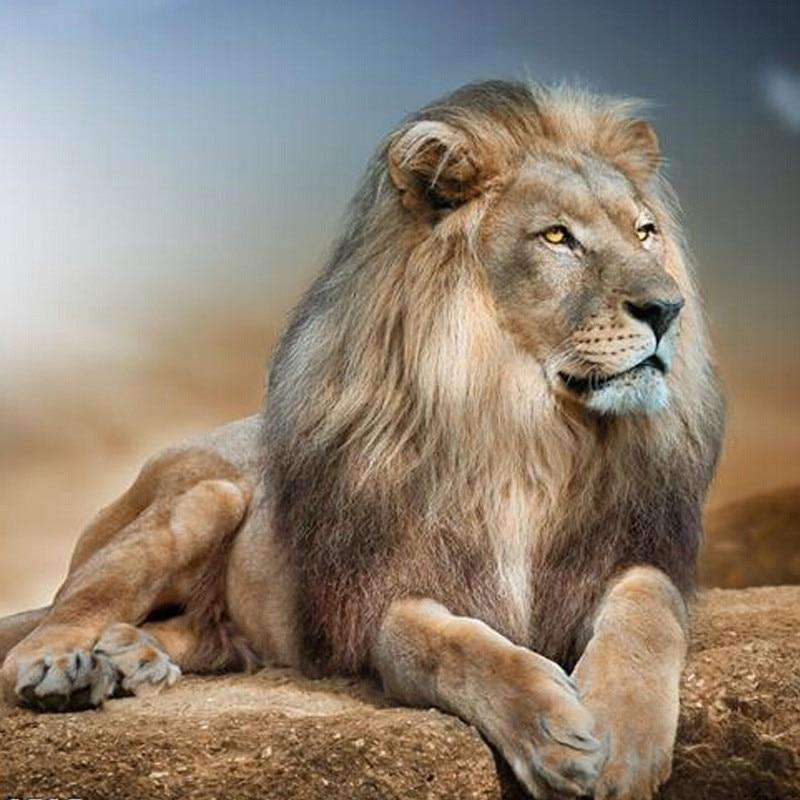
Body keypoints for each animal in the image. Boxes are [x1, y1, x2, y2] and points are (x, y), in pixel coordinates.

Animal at [0, 80, 724, 800]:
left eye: (645, 232)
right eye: (556, 236)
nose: (668, 309)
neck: (526, 431)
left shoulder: (623, 551)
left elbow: (648, 607)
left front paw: (624, 739)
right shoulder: (381, 590)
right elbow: (439, 645)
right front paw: (551, 728)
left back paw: (131, 656)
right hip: (208, 495)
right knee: (48, 625)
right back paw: (69, 668)